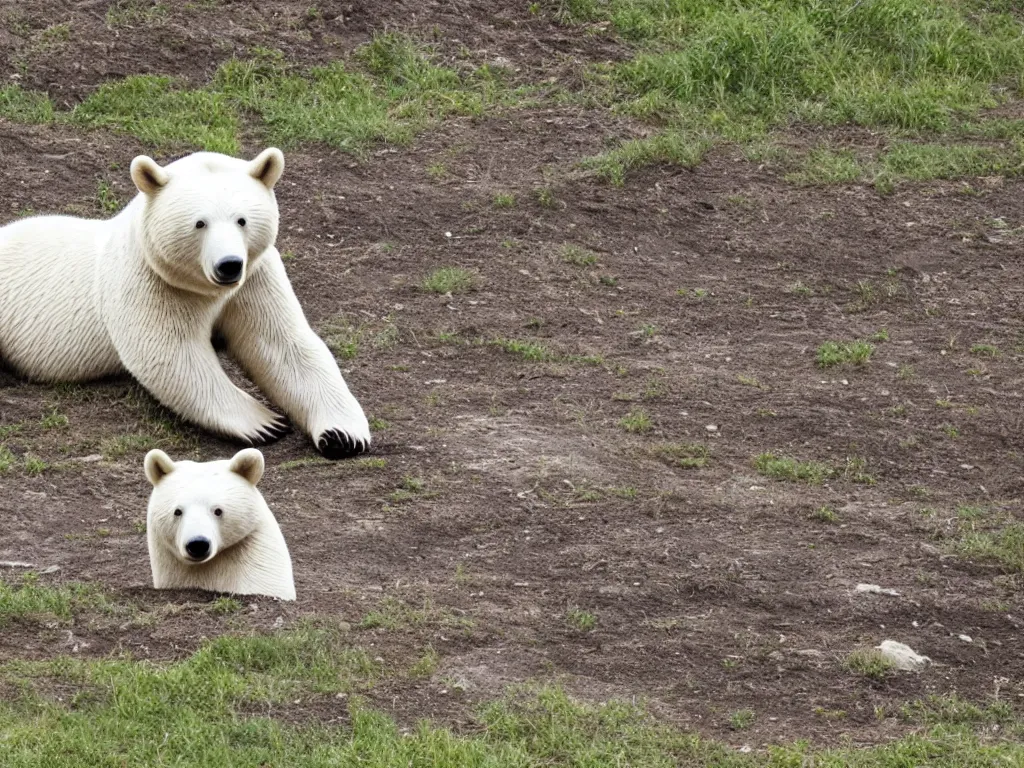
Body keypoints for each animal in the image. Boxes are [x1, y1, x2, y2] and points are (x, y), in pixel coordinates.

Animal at [0, 148, 370, 460]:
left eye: (242, 220)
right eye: (199, 223)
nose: (229, 265)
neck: (205, 288)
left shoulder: (254, 279)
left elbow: (282, 344)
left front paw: (343, 435)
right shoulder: (149, 280)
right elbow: (171, 352)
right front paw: (266, 423)